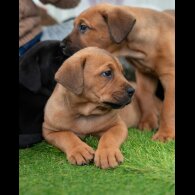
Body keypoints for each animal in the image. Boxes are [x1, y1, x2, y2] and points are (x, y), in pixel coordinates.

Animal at [61, 2, 175, 141]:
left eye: (83, 27)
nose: (61, 45)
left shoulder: (170, 77)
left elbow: (168, 108)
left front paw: (165, 134)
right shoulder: (144, 74)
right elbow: (145, 98)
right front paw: (148, 123)